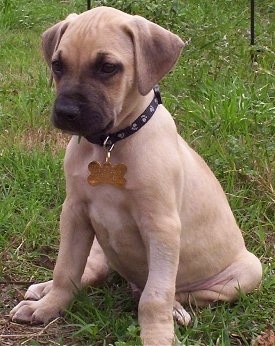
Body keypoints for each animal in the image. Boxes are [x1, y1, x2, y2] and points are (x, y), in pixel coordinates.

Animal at [9, 6, 262, 346]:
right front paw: (49, 307)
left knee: (174, 292)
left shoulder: (161, 226)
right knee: (91, 272)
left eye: (107, 68)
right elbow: (66, 269)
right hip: (100, 245)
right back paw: (42, 291)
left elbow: (156, 296)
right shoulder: (75, 213)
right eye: (58, 65)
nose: (65, 113)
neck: (110, 143)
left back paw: (176, 310)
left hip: (249, 271)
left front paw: (157, 336)